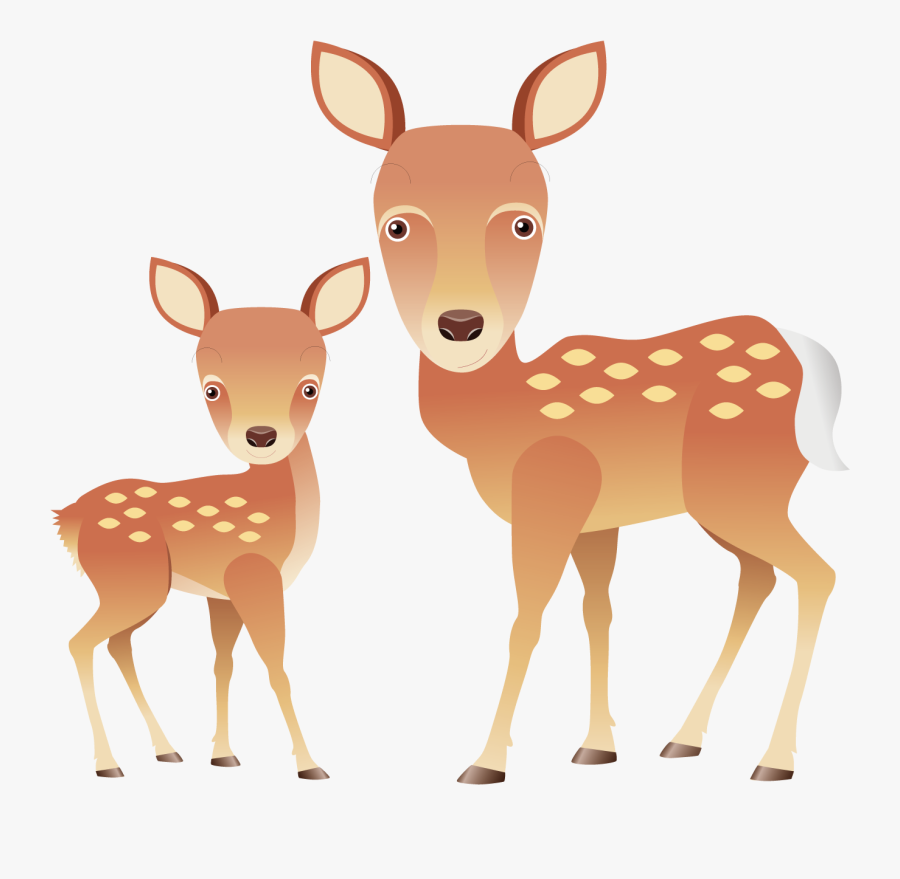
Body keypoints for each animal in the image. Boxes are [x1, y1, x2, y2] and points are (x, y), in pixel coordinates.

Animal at [55, 255, 370, 778]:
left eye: (310, 388)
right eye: (211, 390)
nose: (261, 436)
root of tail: (72, 517)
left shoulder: (220, 592)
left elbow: (224, 662)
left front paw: (223, 755)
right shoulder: (254, 574)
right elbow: (276, 666)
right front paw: (309, 765)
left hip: (139, 589)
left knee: (119, 644)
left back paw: (167, 750)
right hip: (133, 583)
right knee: (82, 642)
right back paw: (108, 764)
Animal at [311, 40, 847, 783]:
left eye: (524, 221)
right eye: (395, 223)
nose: (459, 324)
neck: (502, 419)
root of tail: (812, 362)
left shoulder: (549, 493)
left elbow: (527, 617)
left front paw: (485, 762)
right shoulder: (598, 519)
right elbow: (599, 610)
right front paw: (596, 746)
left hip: (740, 488)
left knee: (816, 572)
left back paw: (773, 760)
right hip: (730, 498)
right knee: (759, 576)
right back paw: (685, 738)